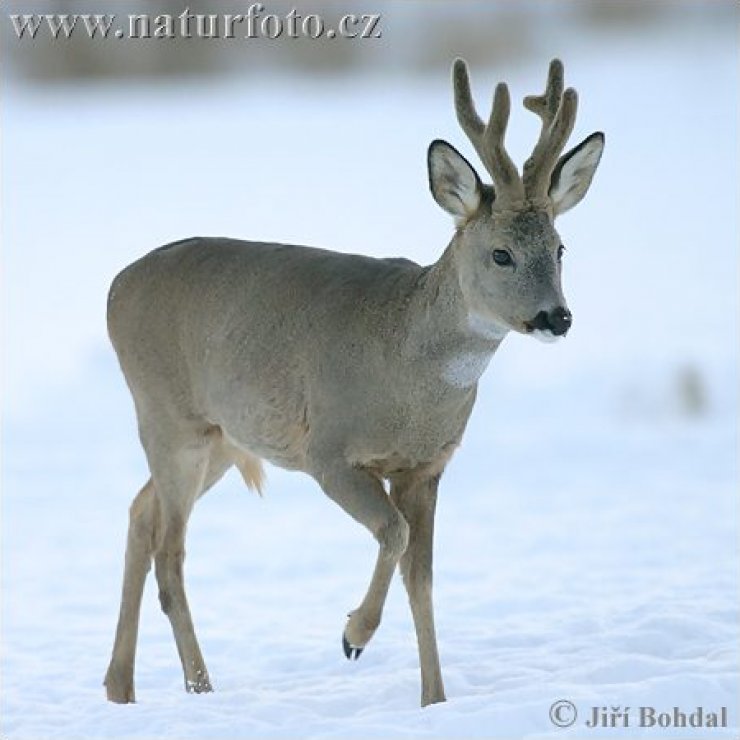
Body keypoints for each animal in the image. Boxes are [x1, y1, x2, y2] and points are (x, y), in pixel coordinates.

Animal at [102, 57, 600, 704]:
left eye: (560, 249)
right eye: (501, 254)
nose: (556, 317)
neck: (407, 372)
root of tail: (114, 287)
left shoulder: (427, 466)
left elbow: (423, 578)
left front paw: (435, 699)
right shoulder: (329, 450)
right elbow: (393, 534)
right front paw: (354, 636)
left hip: (222, 437)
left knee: (141, 514)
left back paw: (120, 686)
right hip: (167, 415)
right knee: (170, 551)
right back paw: (200, 688)